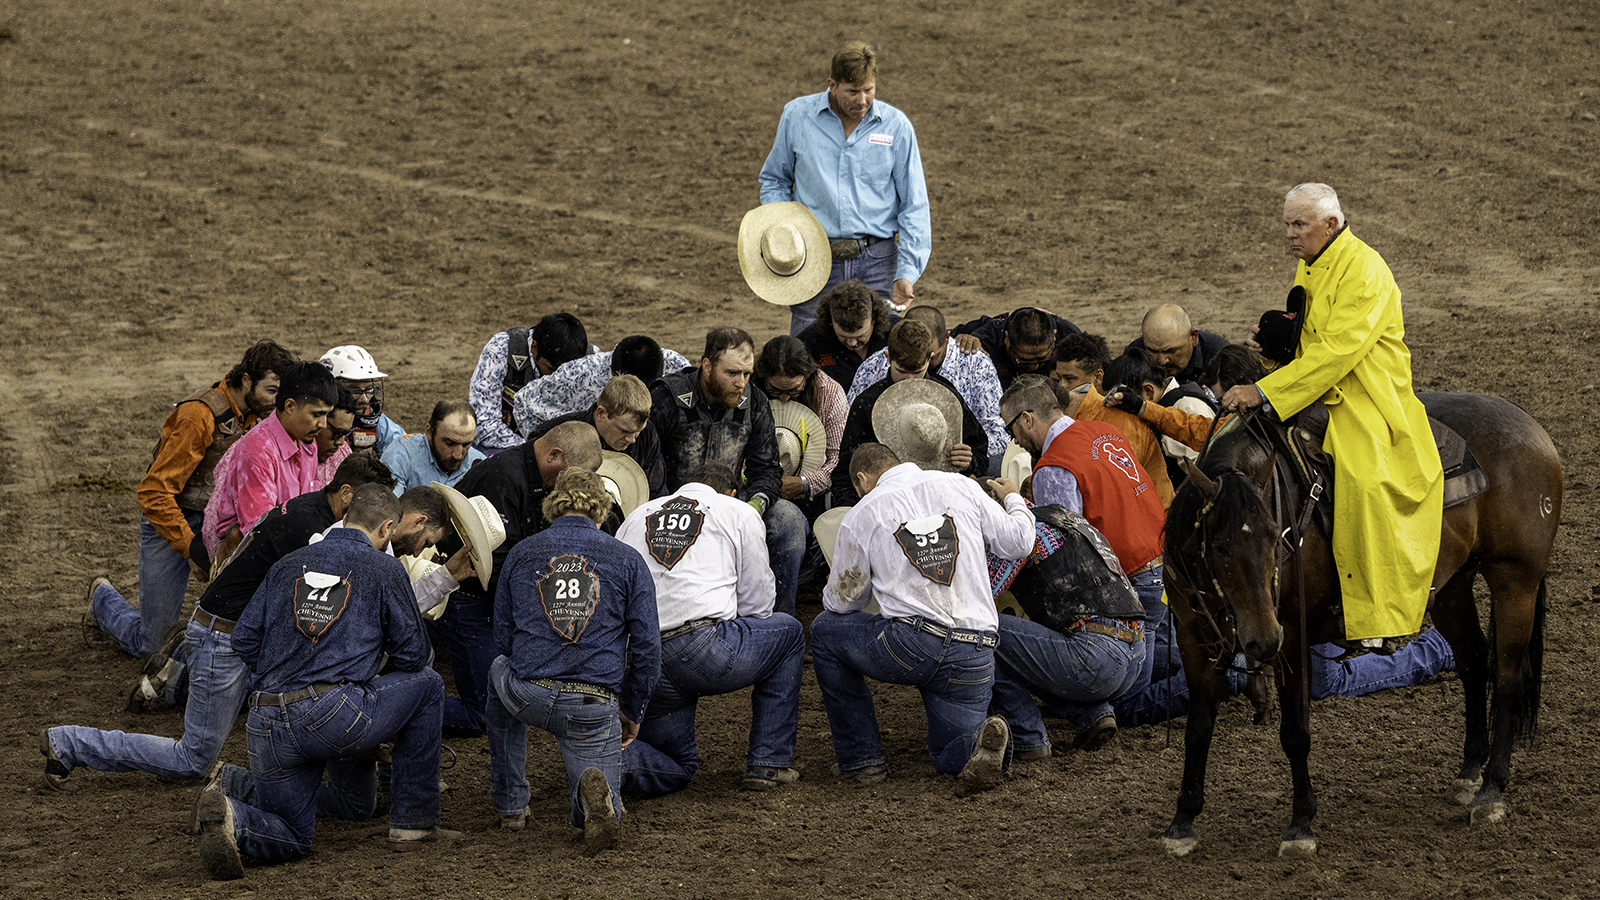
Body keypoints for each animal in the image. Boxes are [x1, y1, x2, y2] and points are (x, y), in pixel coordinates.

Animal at [1164, 392, 1561, 851]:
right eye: (1221, 546)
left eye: (1274, 536)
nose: (1263, 640)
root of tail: (1532, 429)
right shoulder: (1195, 639)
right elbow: (1197, 728)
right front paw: (1182, 820)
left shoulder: (1293, 637)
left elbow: (1294, 733)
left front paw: (1301, 824)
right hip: (1452, 585)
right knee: (1475, 661)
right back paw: (1468, 775)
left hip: (1515, 580)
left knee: (1510, 680)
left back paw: (1492, 791)